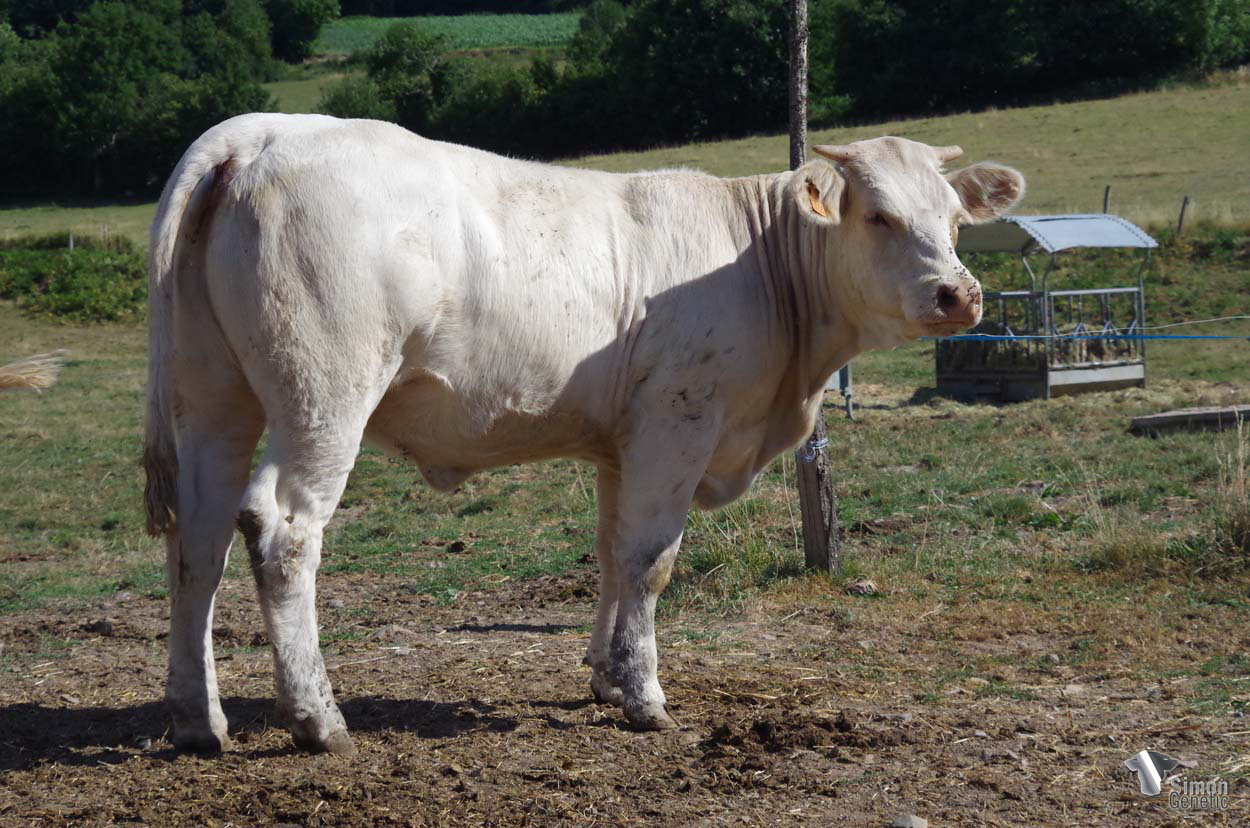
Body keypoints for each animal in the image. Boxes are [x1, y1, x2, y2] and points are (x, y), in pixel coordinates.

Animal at [143, 113, 1024, 755]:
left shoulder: (623, 443)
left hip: (213, 396)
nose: (960, 295)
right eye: (878, 216)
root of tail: (261, 131)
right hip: (324, 395)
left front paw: (604, 675)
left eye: (954, 218)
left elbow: (611, 553)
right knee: (283, 531)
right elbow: (650, 560)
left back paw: (197, 720)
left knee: (199, 541)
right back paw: (317, 719)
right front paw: (644, 696)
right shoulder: (678, 421)